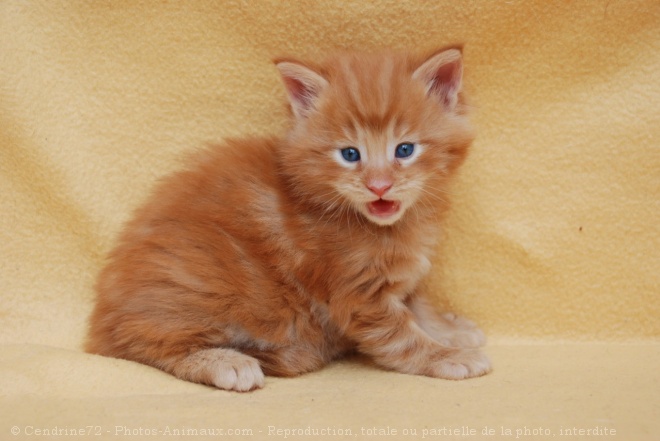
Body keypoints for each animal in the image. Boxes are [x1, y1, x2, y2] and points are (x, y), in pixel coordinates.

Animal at [86, 47, 490, 392]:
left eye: (404, 150)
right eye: (350, 154)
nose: (379, 186)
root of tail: (101, 319)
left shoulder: (401, 278)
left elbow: (417, 305)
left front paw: (450, 329)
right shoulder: (358, 295)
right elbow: (402, 336)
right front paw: (448, 356)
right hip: (197, 283)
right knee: (141, 344)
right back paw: (225, 362)